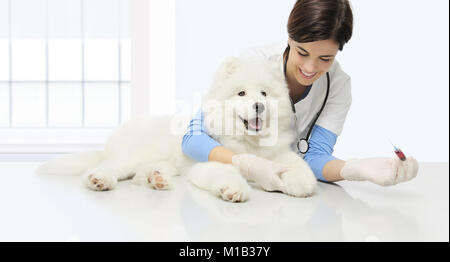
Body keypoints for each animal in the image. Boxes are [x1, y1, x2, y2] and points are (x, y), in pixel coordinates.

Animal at [36, 56, 316, 203]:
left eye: (265, 94)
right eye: (242, 93)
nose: (259, 105)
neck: (250, 143)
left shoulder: (278, 154)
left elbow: (297, 166)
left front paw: (300, 182)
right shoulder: (208, 163)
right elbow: (228, 171)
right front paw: (234, 190)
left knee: (142, 174)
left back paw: (156, 179)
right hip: (135, 154)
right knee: (109, 167)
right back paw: (100, 180)